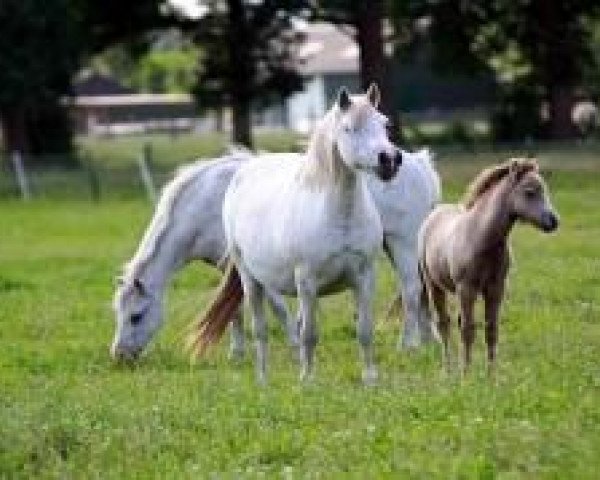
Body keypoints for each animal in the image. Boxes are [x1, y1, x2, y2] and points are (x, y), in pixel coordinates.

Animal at [190, 82, 400, 382]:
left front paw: (370, 379)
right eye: (349, 128)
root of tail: (246, 169)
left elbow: (364, 331)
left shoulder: (364, 279)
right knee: (261, 331)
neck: (340, 218)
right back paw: (263, 379)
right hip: (251, 281)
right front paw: (307, 380)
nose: (390, 160)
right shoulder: (307, 283)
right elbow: (309, 335)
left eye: (384, 124)